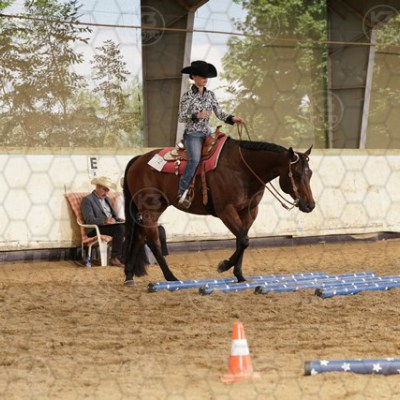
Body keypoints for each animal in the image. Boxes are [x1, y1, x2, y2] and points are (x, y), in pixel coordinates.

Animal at [122, 136, 315, 286]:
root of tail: (138, 160)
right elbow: (243, 240)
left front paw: (239, 275)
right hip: (151, 209)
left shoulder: (249, 212)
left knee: (139, 237)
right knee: (152, 241)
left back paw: (129, 276)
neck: (243, 169)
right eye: (297, 174)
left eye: (310, 173)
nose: (310, 205)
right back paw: (171, 278)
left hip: (154, 208)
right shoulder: (225, 210)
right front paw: (224, 265)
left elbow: (242, 239)